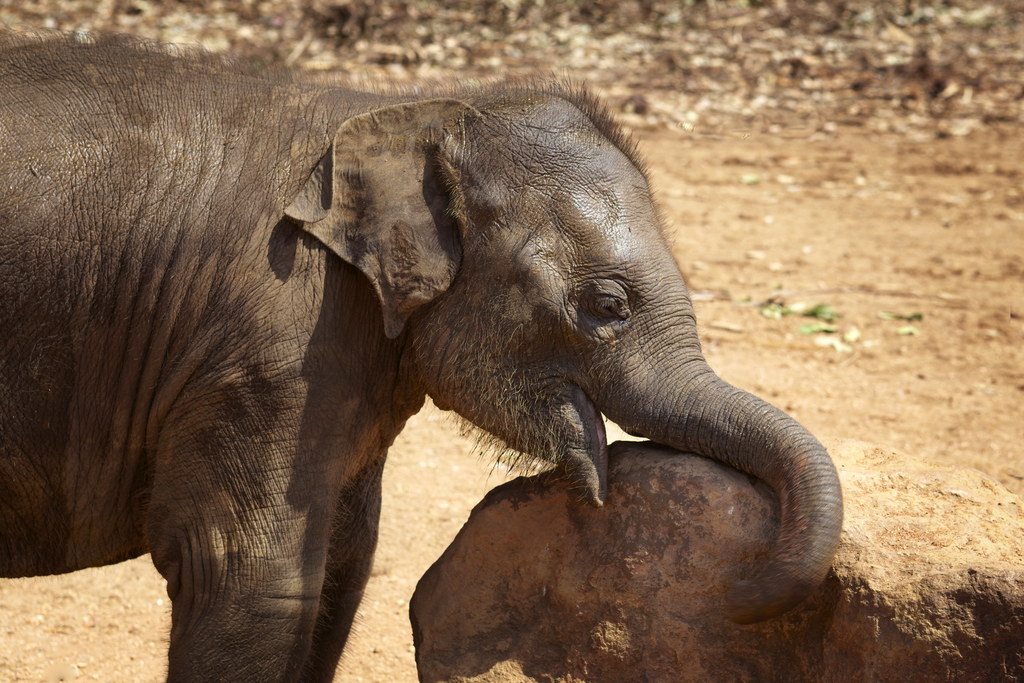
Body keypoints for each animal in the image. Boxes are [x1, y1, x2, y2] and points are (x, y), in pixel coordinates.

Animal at [0, 31, 839, 683]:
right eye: (607, 306)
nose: (736, 583)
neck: (407, 111)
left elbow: (343, 561)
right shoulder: (271, 341)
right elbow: (250, 576)